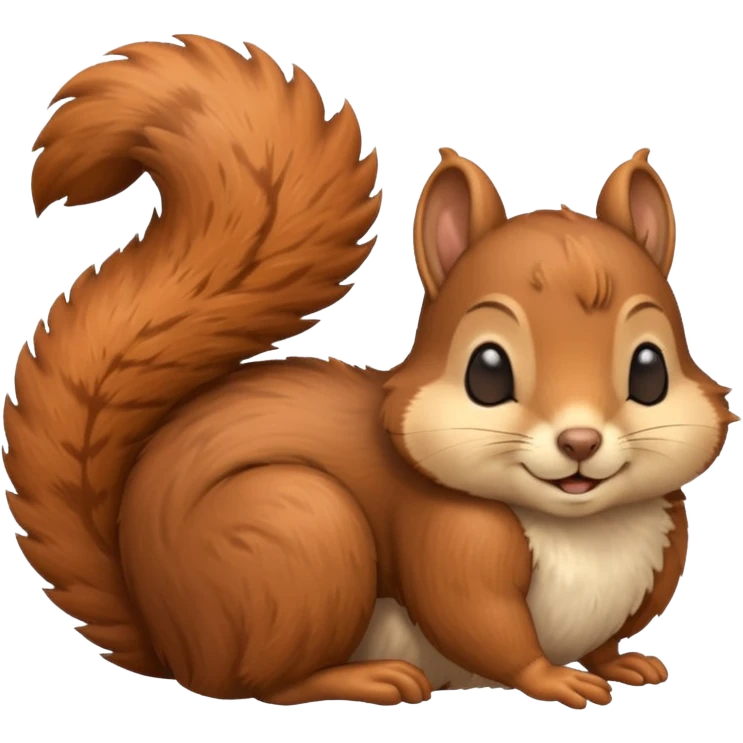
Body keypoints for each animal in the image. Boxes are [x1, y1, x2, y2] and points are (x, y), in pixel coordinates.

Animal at [5, 34, 737, 709]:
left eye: (650, 371)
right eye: (486, 373)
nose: (579, 442)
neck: (582, 527)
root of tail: (169, 639)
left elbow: (606, 637)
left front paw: (623, 661)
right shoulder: (449, 540)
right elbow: (480, 623)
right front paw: (555, 677)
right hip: (295, 539)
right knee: (261, 684)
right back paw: (367, 677)